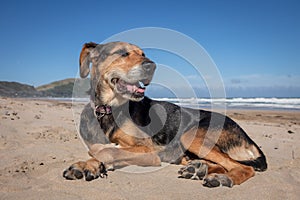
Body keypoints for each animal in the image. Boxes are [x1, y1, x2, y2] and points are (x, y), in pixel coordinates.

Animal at [63, 41, 268, 188]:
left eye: (143, 54)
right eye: (122, 53)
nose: (151, 66)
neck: (108, 110)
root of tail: (248, 138)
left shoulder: (149, 151)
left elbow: (107, 150)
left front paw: (89, 163)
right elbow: (103, 150)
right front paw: (90, 165)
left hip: (191, 135)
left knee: (243, 167)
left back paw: (222, 178)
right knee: (222, 164)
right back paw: (197, 169)